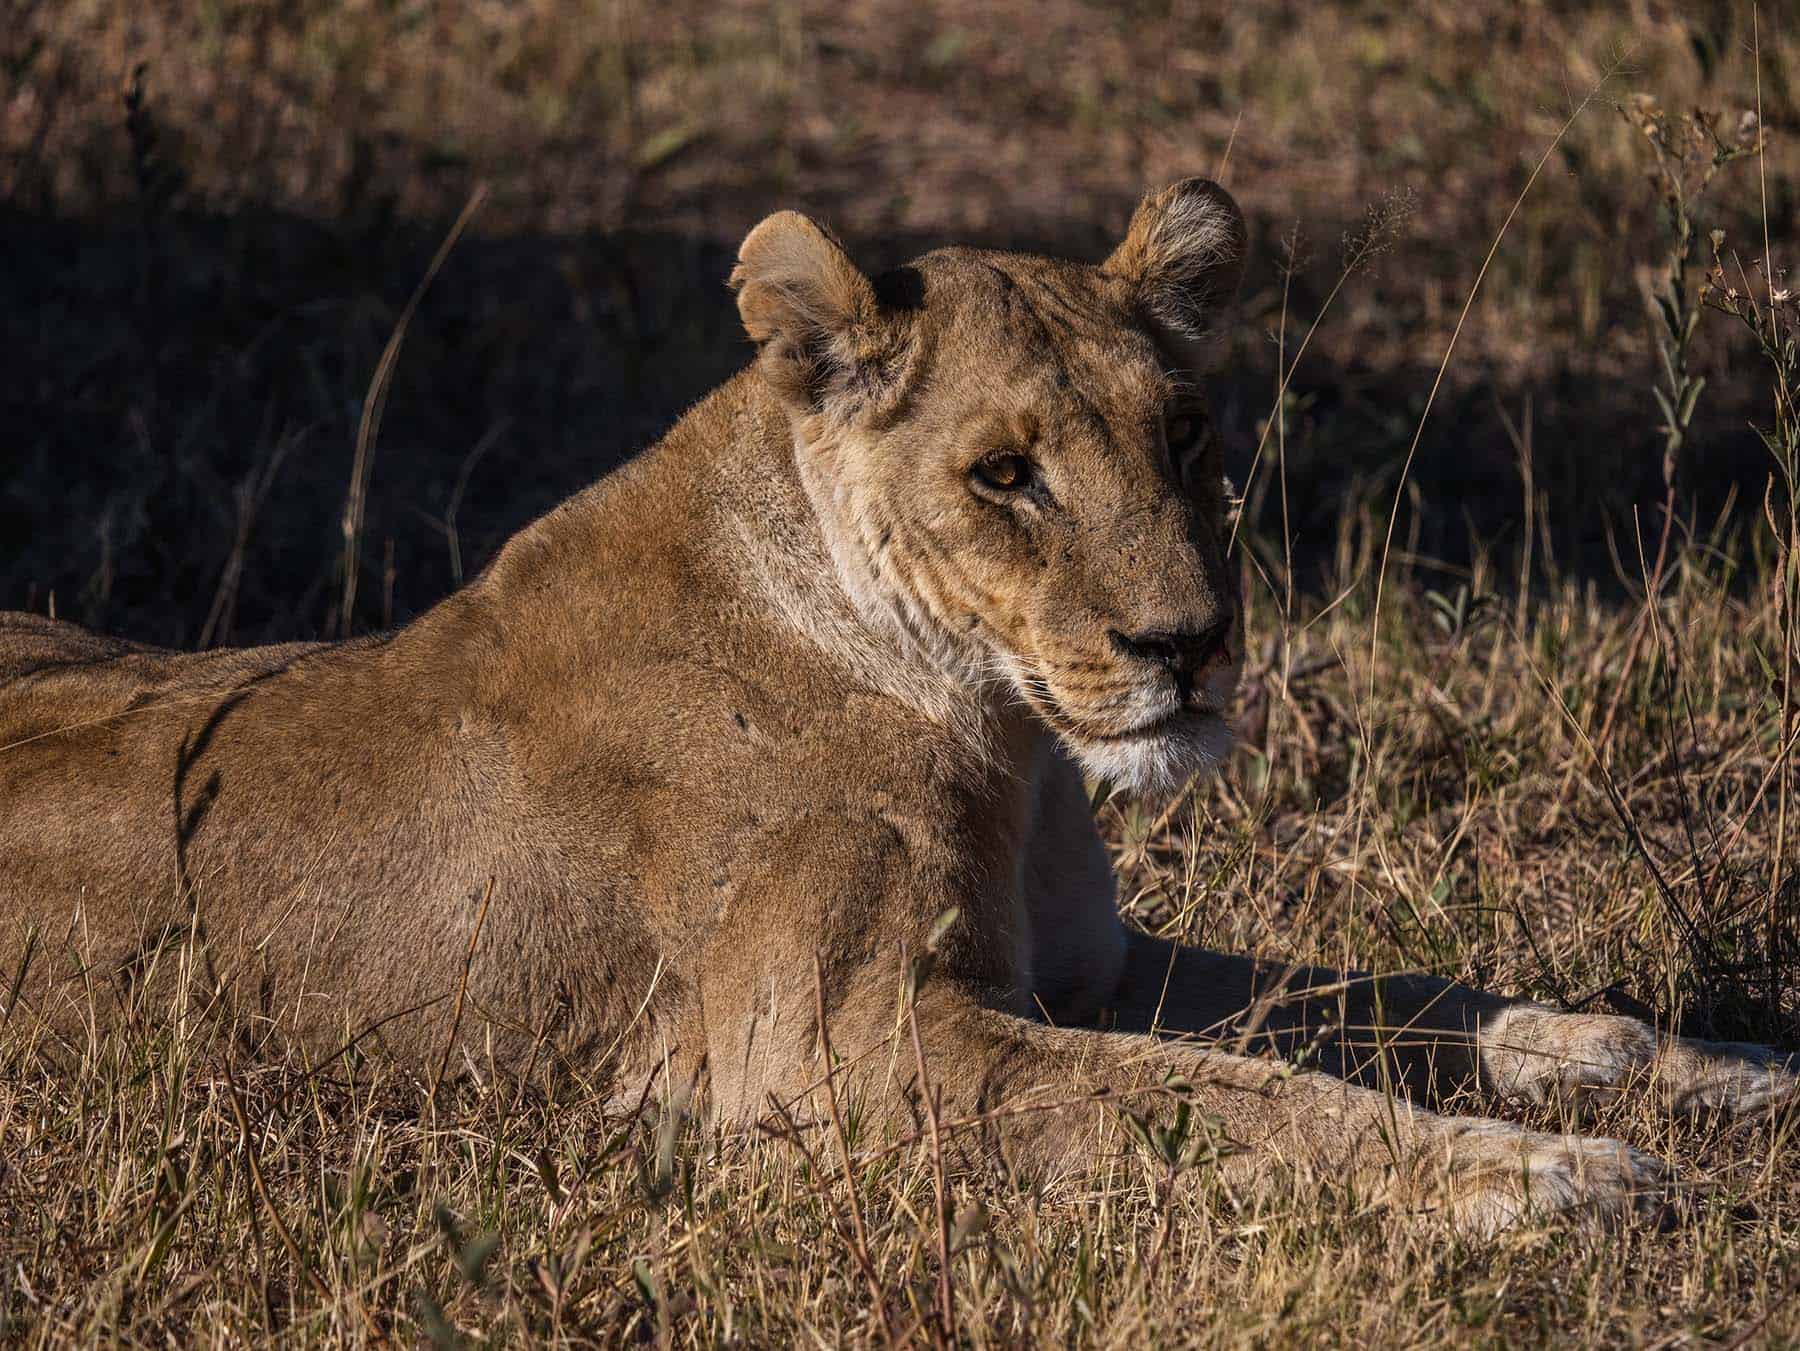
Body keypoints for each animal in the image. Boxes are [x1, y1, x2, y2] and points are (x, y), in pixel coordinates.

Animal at [2, 179, 1793, 1235]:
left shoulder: (1096, 964)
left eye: (1187, 431)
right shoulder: (831, 1052)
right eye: (1004, 475)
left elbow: (1413, 1000)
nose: (1192, 646)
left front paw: (1707, 1068)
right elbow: (1237, 1099)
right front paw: (1541, 1173)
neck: (1011, 737)